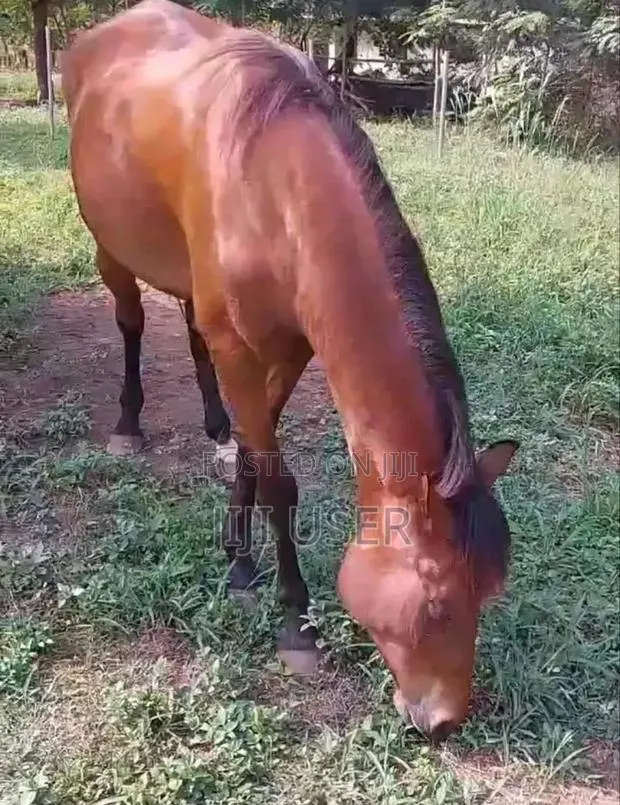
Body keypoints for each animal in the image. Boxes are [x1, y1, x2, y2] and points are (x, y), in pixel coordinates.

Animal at [60, 0, 519, 740]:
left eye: (491, 592)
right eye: (437, 604)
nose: (446, 720)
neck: (277, 187)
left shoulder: (291, 348)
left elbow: (256, 450)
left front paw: (237, 556)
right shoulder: (243, 346)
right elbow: (279, 480)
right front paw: (292, 617)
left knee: (190, 330)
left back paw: (214, 424)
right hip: (110, 246)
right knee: (131, 322)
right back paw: (129, 422)